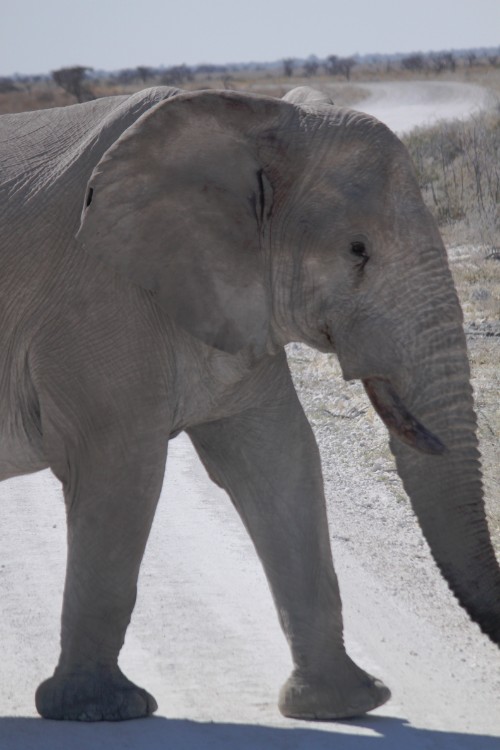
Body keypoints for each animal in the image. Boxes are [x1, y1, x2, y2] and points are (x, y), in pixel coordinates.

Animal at [0, 81, 498, 724]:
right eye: (357, 250)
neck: (251, 120)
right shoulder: (95, 302)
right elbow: (121, 472)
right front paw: (102, 710)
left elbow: (281, 461)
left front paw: (345, 704)